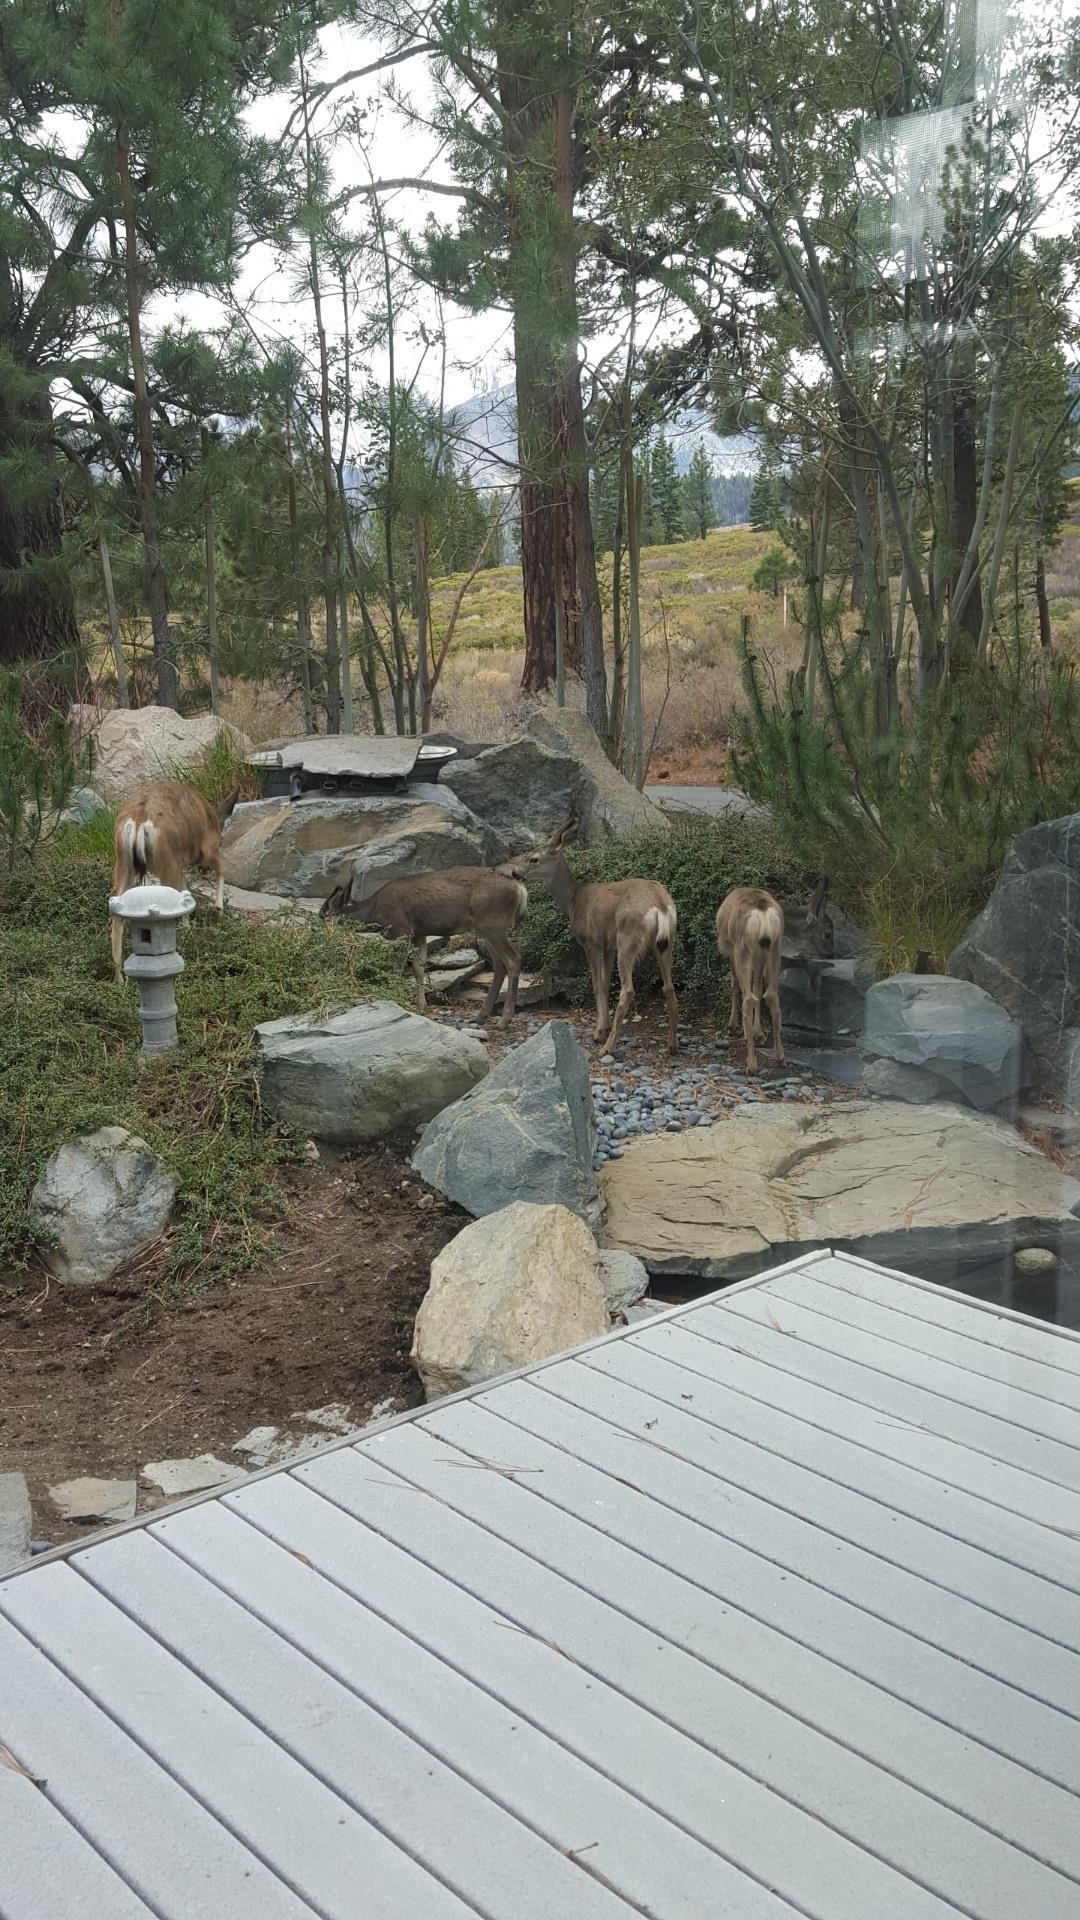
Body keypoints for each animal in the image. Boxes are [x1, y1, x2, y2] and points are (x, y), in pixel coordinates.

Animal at [111, 781, 240, 982]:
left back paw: (120, 979)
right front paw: (218, 908)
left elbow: (185, 891)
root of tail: (139, 819)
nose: (203, 870)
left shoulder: (179, 864)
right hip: (166, 858)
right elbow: (222, 869)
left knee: (117, 917)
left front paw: (188, 928)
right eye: (222, 840)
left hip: (124, 861)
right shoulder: (207, 847)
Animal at [320, 863, 528, 1026]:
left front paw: (395, 998)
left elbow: (397, 968)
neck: (374, 912)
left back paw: (504, 1020)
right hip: (485, 928)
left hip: (492, 922)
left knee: (513, 959)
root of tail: (519, 887)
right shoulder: (419, 934)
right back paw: (480, 1016)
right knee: (499, 964)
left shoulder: (401, 930)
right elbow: (419, 968)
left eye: (322, 917)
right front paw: (422, 1005)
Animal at [513, 825, 679, 1054]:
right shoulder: (609, 946)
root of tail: (660, 905)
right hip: (665, 942)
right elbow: (606, 983)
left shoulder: (591, 942)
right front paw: (605, 1026)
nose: (515, 872)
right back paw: (672, 1045)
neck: (572, 901)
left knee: (628, 989)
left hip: (627, 938)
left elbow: (597, 983)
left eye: (534, 858)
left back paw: (608, 1048)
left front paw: (599, 1032)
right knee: (669, 987)